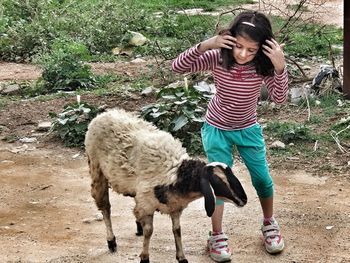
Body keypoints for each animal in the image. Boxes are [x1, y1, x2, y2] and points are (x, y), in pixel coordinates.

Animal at [83, 109, 247, 263]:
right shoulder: (147, 205)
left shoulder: (175, 207)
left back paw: (137, 227)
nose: (243, 200)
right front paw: (144, 257)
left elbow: (177, 230)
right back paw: (111, 241)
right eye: (218, 181)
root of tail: (104, 114)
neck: (176, 174)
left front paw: (181, 257)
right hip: (97, 170)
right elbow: (149, 231)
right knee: (105, 208)